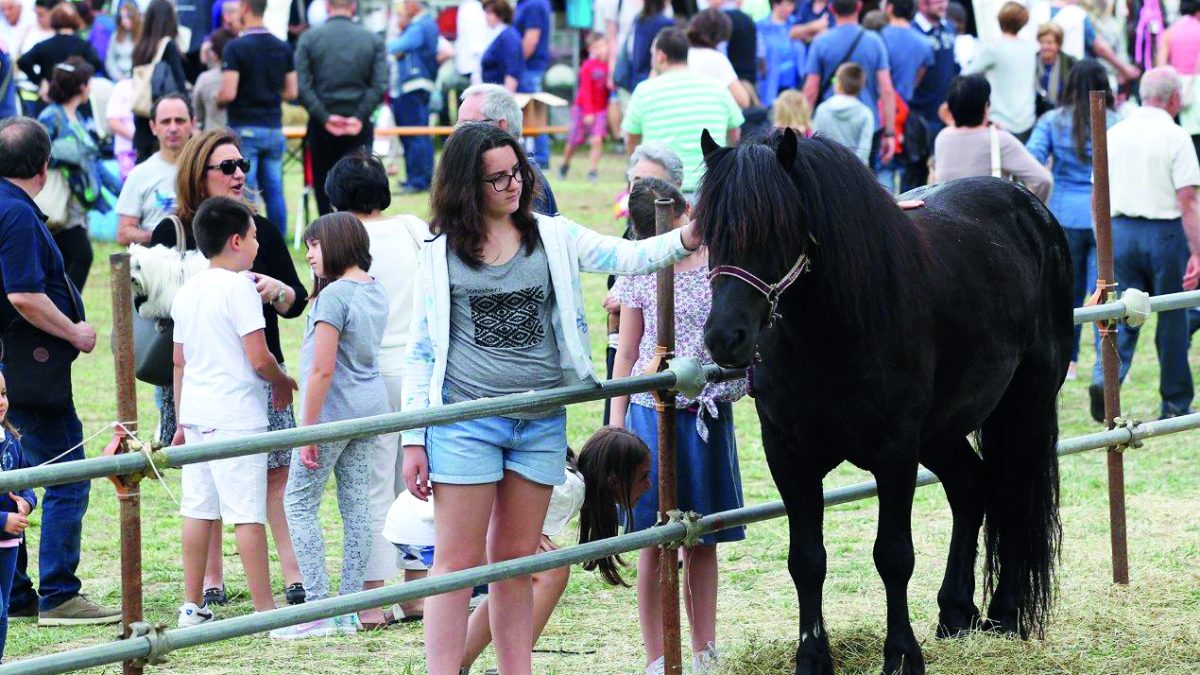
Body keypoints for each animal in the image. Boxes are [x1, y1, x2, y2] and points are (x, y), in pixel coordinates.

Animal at [700, 127, 1075, 672]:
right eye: (708, 230)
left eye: (777, 228)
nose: (725, 338)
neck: (830, 333)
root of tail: (1032, 211)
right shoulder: (787, 454)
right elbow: (806, 560)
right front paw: (812, 656)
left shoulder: (895, 451)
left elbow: (893, 555)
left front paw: (900, 654)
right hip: (941, 430)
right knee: (971, 487)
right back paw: (955, 612)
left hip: (1024, 406)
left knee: (1011, 495)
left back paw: (1004, 616)